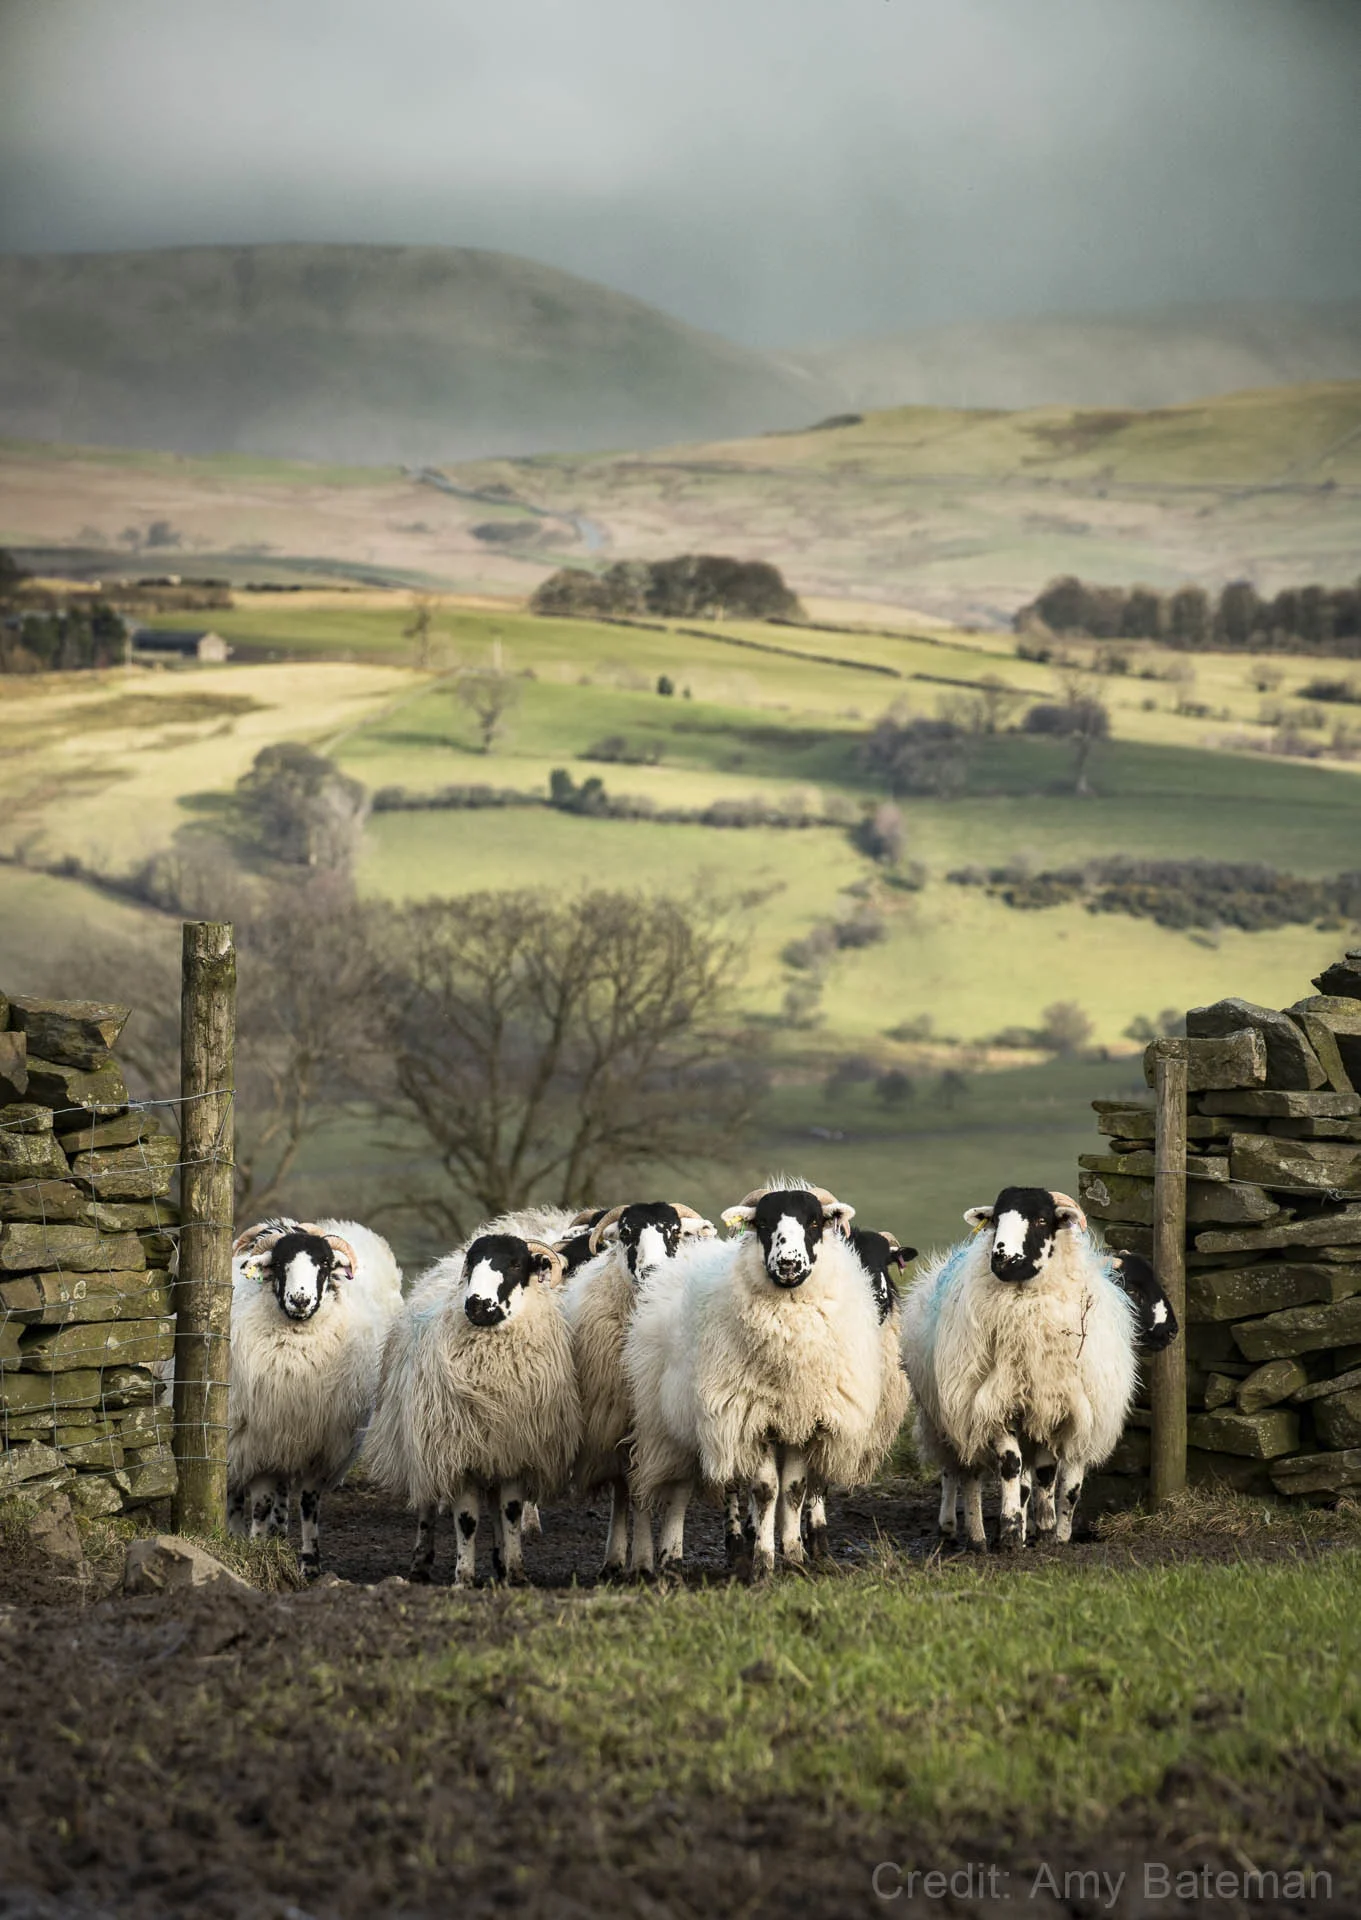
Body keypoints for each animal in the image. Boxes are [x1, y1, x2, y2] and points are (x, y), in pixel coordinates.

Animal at [227, 1216, 403, 1577]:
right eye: (280, 1264)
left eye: (324, 1264)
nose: (300, 1300)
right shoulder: (259, 1441)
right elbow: (259, 1504)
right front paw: (254, 1549)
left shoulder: (318, 1445)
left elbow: (308, 1503)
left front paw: (310, 1563)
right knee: (234, 1490)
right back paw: (237, 1534)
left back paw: (278, 1533)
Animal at [364, 1230, 581, 1586]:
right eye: (473, 1262)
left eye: (516, 1263)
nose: (476, 1304)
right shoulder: (459, 1456)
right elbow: (466, 1521)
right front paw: (463, 1577)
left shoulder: (512, 1454)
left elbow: (510, 1515)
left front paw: (515, 1572)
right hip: (424, 1444)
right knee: (426, 1503)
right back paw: (420, 1563)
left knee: (495, 1509)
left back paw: (499, 1560)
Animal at [561, 1199, 715, 1579]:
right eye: (628, 1233)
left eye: (675, 1232)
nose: (651, 1271)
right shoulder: (622, 1422)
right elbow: (635, 1494)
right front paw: (643, 1561)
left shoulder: (673, 1425)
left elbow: (679, 1491)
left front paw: (672, 1557)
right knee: (622, 1490)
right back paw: (615, 1558)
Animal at [625, 1179, 883, 1582]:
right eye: (763, 1223)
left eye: (814, 1222)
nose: (789, 1263)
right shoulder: (752, 1418)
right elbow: (764, 1491)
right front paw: (763, 1564)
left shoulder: (803, 1419)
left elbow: (793, 1490)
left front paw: (794, 1557)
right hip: (670, 1424)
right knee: (675, 1492)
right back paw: (669, 1561)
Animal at [901, 1186, 1139, 1551]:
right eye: (996, 1219)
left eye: (1041, 1219)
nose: (1003, 1258)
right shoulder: (995, 1404)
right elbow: (1011, 1466)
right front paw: (1011, 1531)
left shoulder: (1055, 1409)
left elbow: (1050, 1476)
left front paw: (1049, 1531)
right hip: (950, 1415)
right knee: (962, 1474)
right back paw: (968, 1533)